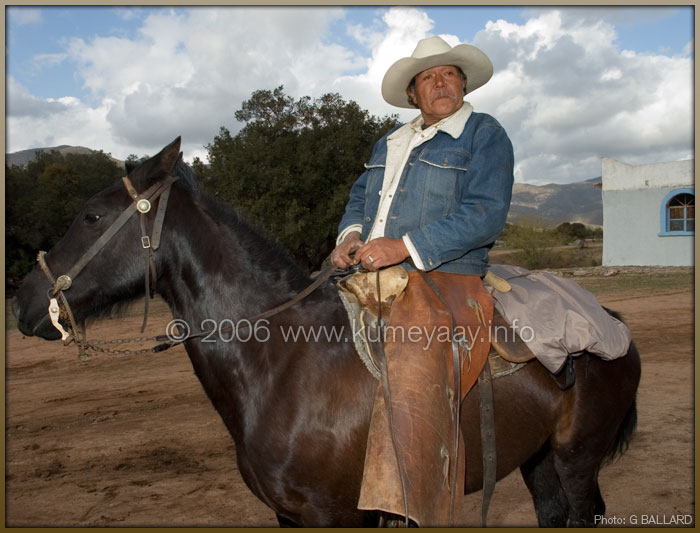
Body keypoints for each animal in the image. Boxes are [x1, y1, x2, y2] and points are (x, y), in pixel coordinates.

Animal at [15, 137, 640, 528]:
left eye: (92, 216)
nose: (23, 301)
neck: (285, 365)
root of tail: (611, 322)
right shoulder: (289, 514)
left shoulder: (332, 514)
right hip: (538, 459)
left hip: (577, 460)